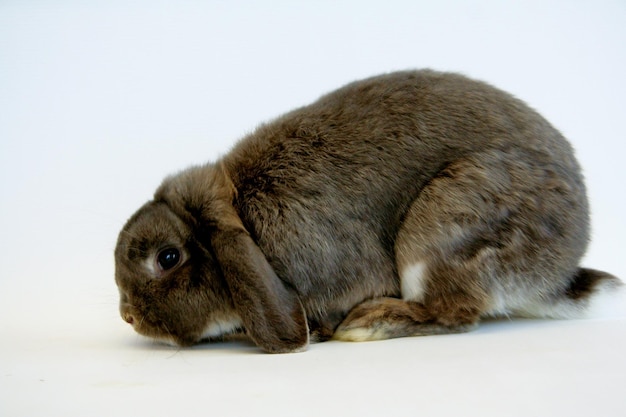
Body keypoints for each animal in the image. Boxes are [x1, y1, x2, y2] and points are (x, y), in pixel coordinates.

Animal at [113, 68, 620, 352]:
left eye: (168, 258)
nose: (128, 317)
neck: (244, 218)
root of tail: (559, 274)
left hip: (443, 228)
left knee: (454, 313)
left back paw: (369, 324)